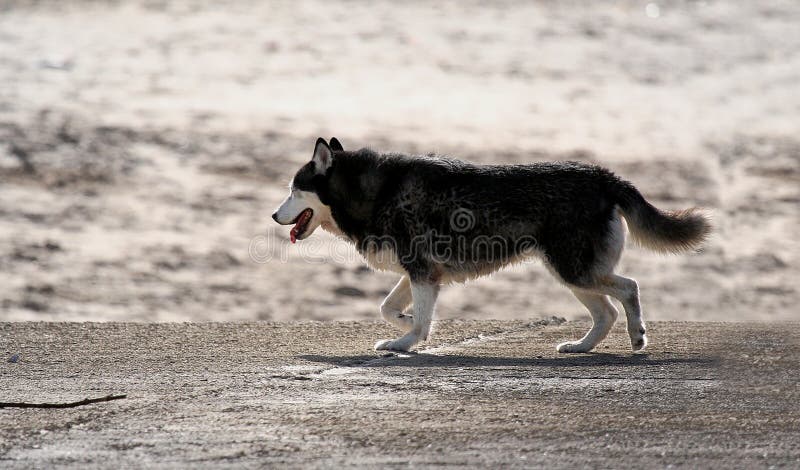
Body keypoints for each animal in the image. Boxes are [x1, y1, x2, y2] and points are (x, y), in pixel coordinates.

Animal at [272, 139, 708, 352]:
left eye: (293, 190)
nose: (275, 216)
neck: (375, 191)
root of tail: (603, 176)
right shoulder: (422, 273)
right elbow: (388, 307)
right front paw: (407, 326)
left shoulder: (423, 272)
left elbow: (416, 318)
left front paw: (406, 342)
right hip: (573, 274)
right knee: (606, 313)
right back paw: (581, 347)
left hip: (574, 269)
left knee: (629, 289)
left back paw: (637, 336)